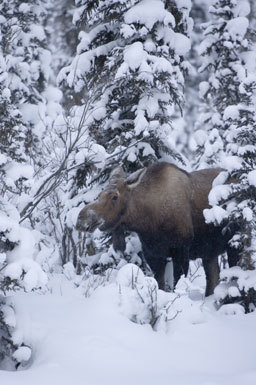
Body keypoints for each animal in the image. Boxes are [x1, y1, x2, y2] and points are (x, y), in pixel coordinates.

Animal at [75, 161, 238, 294]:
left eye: (114, 196)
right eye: (99, 194)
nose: (81, 219)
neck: (149, 223)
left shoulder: (181, 250)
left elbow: (176, 285)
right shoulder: (153, 254)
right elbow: (160, 285)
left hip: (233, 244)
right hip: (210, 252)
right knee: (213, 282)